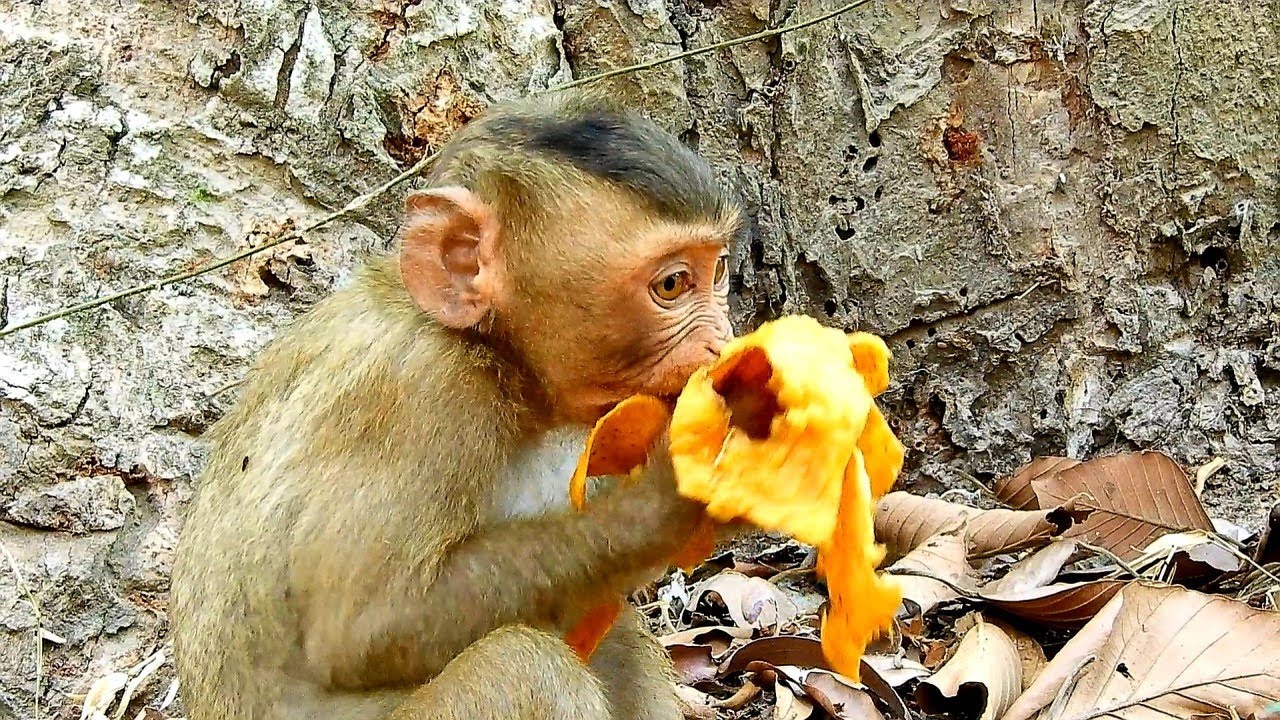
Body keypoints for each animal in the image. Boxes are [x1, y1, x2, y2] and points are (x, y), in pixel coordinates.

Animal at [169, 90, 746, 720]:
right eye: (671, 285)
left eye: (717, 271)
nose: (722, 343)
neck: (498, 358)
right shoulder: (418, 388)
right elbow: (366, 627)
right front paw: (670, 499)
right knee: (522, 666)